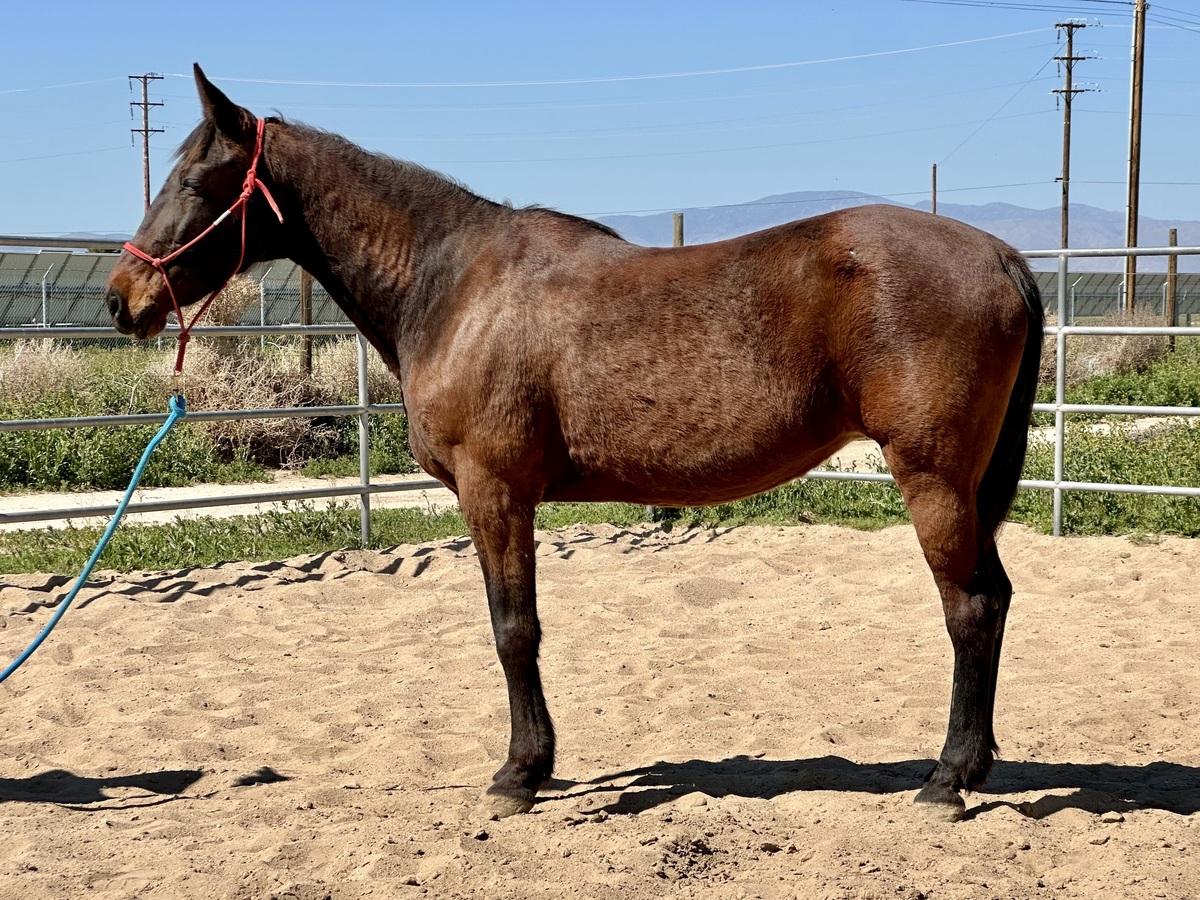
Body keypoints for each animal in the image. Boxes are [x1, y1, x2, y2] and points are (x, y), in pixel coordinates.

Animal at [107, 65, 1044, 823]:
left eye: (194, 179)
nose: (122, 298)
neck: (454, 285)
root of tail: (1001, 255)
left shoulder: (495, 492)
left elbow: (513, 629)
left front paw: (521, 774)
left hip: (931, 479)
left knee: (968, 610)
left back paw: (946, 780)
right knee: (994, 600)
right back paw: (974, 768)